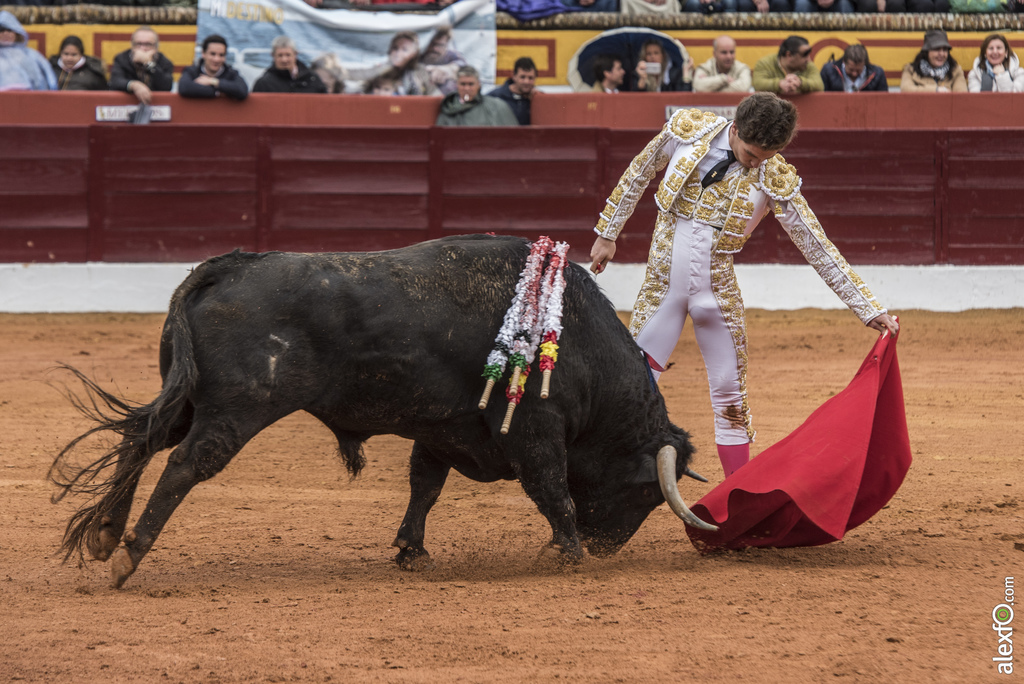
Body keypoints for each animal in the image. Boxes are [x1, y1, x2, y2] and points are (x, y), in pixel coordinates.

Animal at [49, 236, 712, 589]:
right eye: (647, 491)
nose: (607, 548)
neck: (575, 338)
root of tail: (230, 264)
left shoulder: (444, 430)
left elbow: (425, 487)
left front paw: (410, 552)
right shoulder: (535, 433)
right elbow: (554, 492)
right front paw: (569, 557)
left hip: (187, 398)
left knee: (140, 440)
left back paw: (106, 536)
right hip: (235, 411)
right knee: (186, 464)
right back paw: (129, 554)